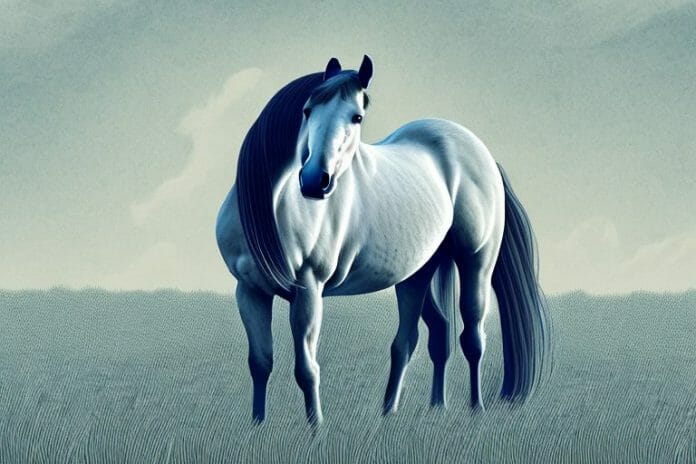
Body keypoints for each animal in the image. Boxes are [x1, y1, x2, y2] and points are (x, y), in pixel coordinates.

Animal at [216, 55, 550, 425]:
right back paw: (414, 408)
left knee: (472, 337)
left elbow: (306, 369)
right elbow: (260, 363)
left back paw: (475, 408)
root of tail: (482, 154)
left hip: (476, 262)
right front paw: (257, 425)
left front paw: (315, 428)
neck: (274, 207)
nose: (316, 181)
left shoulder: (308, 291)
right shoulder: (250, 291)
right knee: (423, 337)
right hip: (416, 272)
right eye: (307, 110)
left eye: (357, 117)